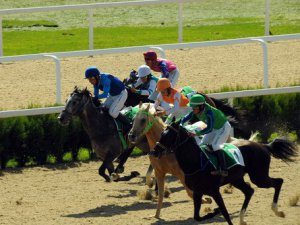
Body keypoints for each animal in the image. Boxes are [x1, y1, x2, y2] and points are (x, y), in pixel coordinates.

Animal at [155, 121, 298, 225]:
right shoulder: (197, 192)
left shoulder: (214, 191)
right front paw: (213, 211)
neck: (196, 162)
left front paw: (216, 210)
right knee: (249, 191)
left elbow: (225, 213)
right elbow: (197, 217)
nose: (155, 150)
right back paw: (242, 219)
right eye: (161, 133)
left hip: (259, 177)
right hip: (237, 179)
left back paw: (277, 211)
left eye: (167, 135)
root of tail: (264, 146)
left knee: (278, 181)